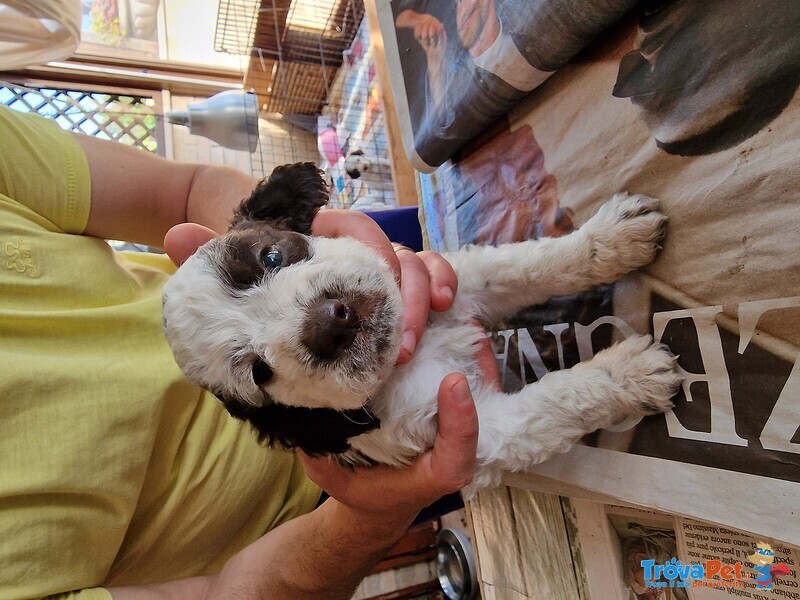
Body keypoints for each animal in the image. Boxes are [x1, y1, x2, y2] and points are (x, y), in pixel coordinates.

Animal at [164, 162, 680, 494]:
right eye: (259, 373)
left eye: (270, 257)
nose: (327, 325)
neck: (403, 359)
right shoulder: (470, 429)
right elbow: (554, 402)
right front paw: (628, 374)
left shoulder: (451, 286)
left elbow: (526, 265)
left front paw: (611, 240)